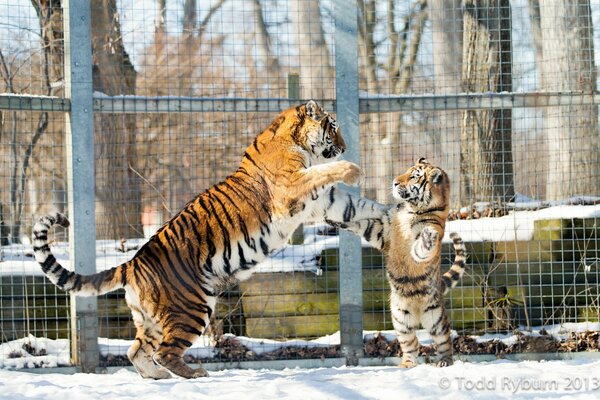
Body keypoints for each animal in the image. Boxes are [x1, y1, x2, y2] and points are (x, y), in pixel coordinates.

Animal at [31, 100, 390, 378]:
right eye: (333, 126)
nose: (344, 147)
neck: (296, 141)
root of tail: (132, 262)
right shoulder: (292, 187)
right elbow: (324, 174)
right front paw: (354, 169)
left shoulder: (325, 202)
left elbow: (361, 207)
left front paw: (391, 211)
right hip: (192, 307)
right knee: (164, 351)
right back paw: (192, 374)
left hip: (151, 318)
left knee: (136, 351)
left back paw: (158, 377)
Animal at [326, 157, 466, 368]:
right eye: (406, 171)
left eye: (414, 176)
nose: (394, 182)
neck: (411, 209)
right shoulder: (382, 231)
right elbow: (361, 224)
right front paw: (332, 221)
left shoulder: (413, 244)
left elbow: (420, 248)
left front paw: (428, 237)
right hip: (401, 321)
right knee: (412, 345)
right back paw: (406, 365)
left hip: (436, 319)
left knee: (445, 341)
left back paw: (444, 362)